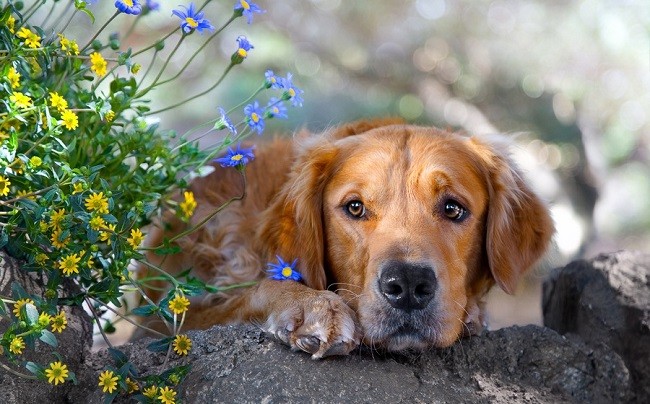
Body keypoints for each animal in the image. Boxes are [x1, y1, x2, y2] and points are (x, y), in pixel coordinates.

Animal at [142, 118, 552, 358]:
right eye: (355, 207)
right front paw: (311, 306)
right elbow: (253, 291)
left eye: (453, 209)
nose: (407, 284)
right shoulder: (167, 318)